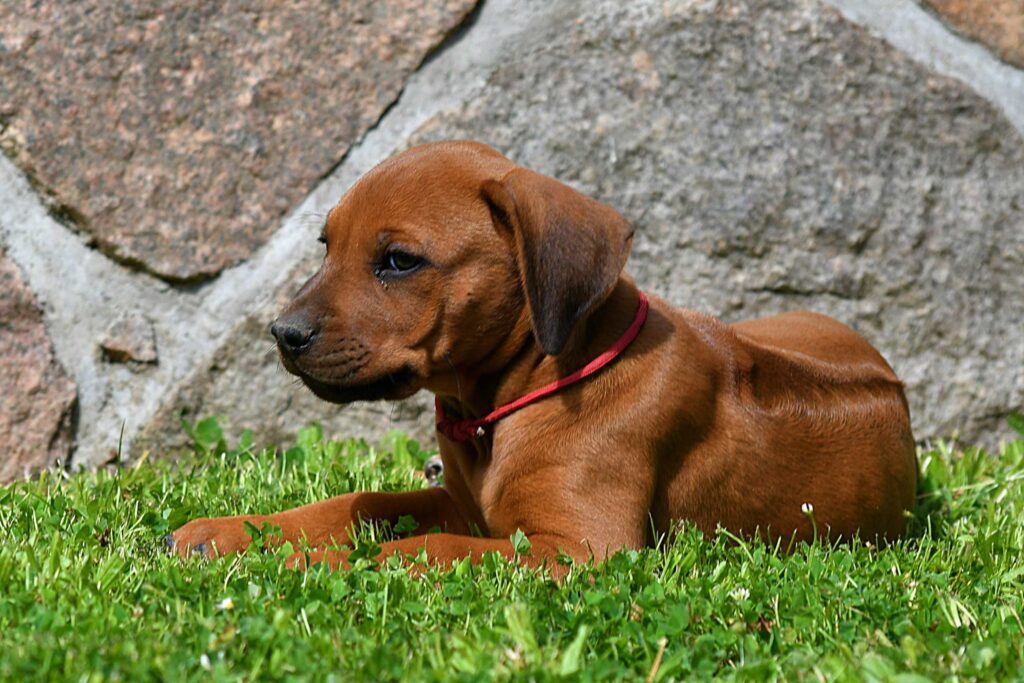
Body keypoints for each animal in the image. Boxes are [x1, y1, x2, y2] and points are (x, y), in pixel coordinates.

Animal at [170, 140, 917, 572]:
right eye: (327, 246)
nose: (282, 333)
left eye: (399, 261)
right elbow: (359, 500)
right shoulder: (460, 502)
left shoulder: (581, 549)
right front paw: (233, 534)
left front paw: (288, 567)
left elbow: (411, 549)